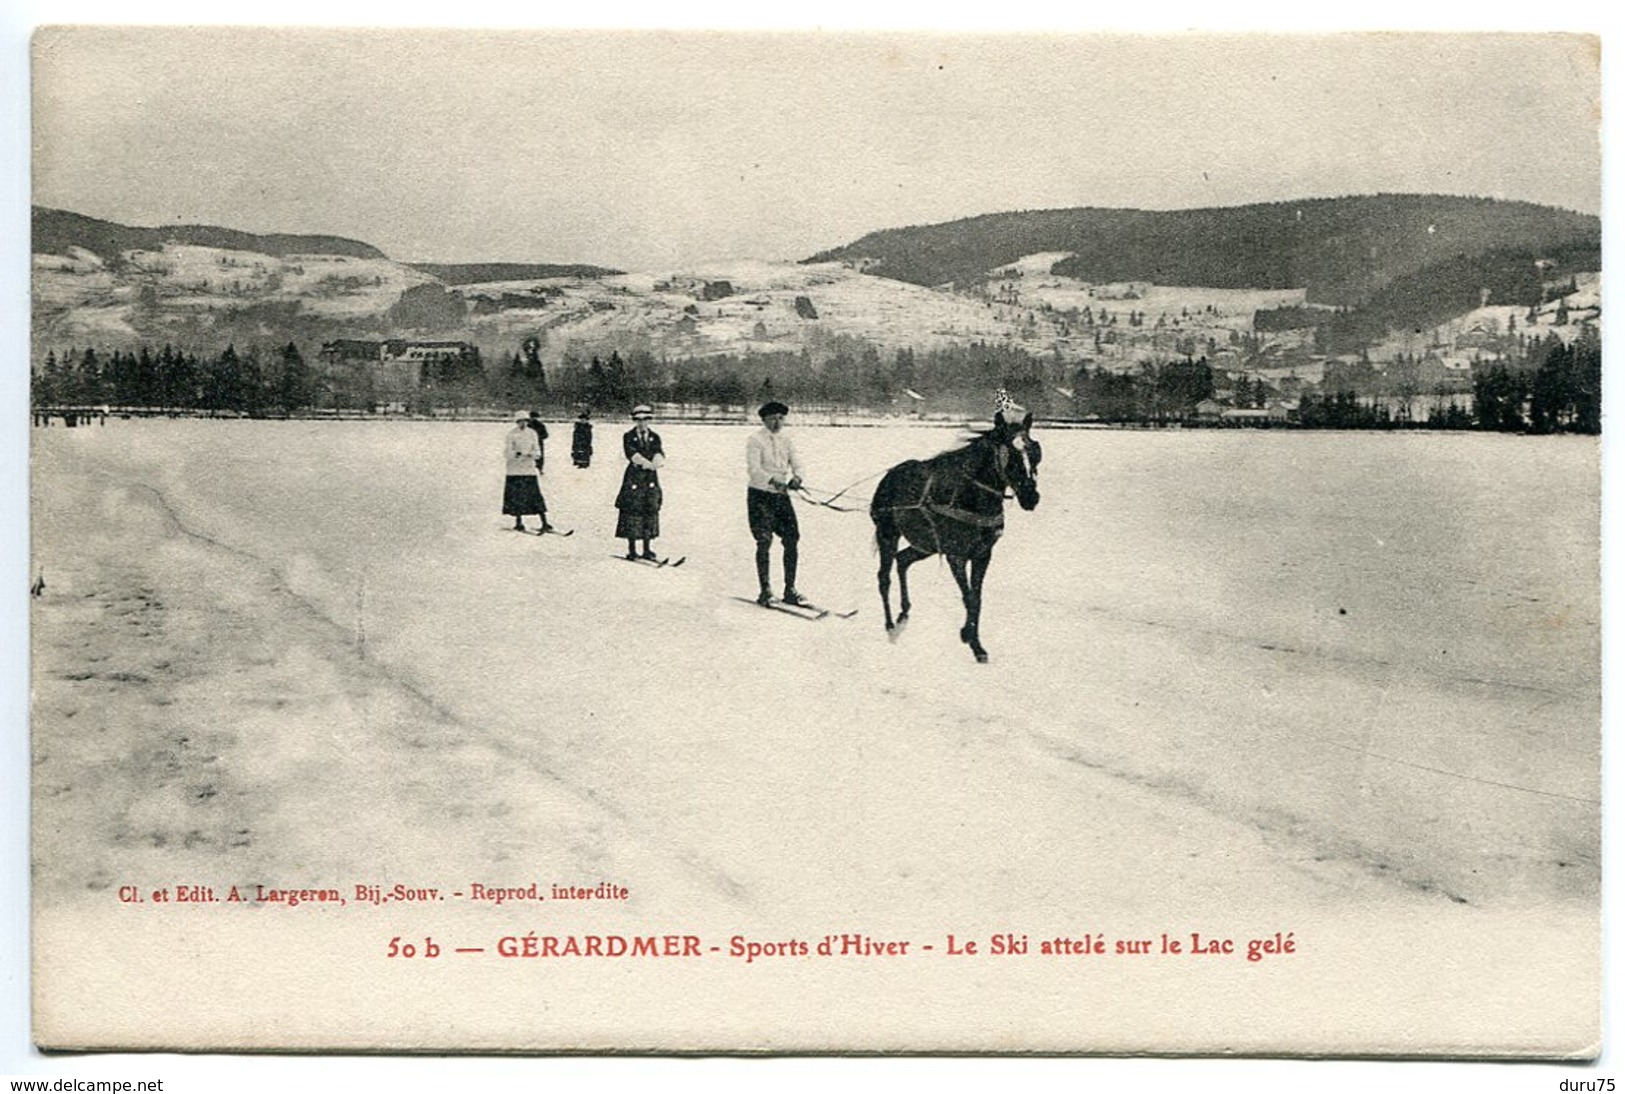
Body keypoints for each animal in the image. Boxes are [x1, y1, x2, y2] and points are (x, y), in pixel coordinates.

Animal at [877, 409, 1040, 659]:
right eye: (1011, 455)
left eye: (1034, 451)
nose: (1031, 497)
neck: (969, 496)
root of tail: (890, 475)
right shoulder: (957, 556)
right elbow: (969, 596)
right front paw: (973, 641)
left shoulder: (982, 554)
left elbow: (977, 597)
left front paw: (970, 637)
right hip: (887, 534)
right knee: (884, 578)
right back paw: (889, 624)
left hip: (925, 544)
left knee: (903, 560)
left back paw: (904, 611)